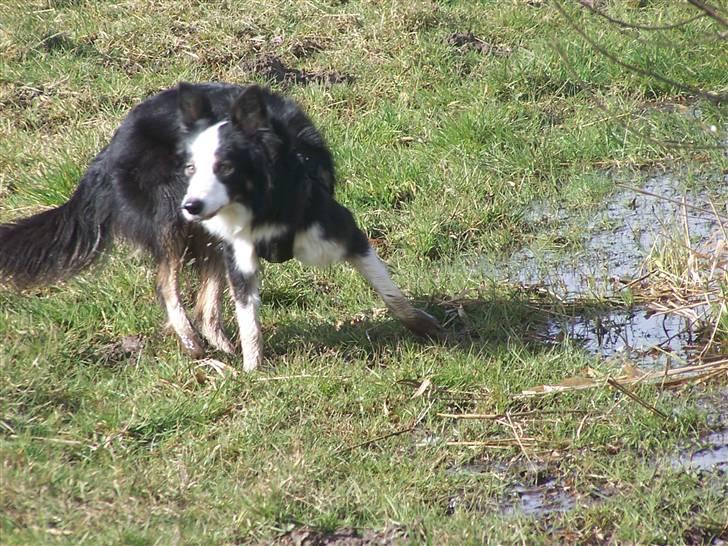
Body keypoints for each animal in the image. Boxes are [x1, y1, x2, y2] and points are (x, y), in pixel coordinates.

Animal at [0, 82, 438, 370]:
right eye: (190, 167)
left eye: (225, 167)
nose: (192, 204)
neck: (265, 200)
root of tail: (109, 148)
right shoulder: (240, 253)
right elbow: (249, 318)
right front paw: (254, 370)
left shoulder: (338, 229)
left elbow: (388, 289)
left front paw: (423, 326)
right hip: (171, 219)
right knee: (167, 283)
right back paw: (192, 342)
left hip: (205, 236)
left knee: (207, 304)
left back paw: (219, 348)